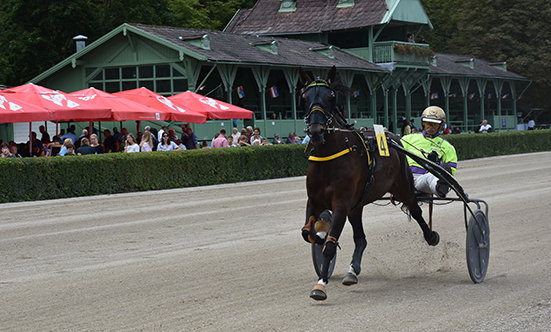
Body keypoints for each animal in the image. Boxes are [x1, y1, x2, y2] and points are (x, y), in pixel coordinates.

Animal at [300, 67, 442, 300]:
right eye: (304, 98)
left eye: (331, 97)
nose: (315, 131)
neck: (329, 158)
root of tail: (393, 136)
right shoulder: (314, 200)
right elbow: (308, 233)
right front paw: (320, 235)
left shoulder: (341, 203)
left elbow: (329, 245)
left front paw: (320, 285)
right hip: (356, 206)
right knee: (361, 239)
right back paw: (352, 272)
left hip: (402, 185)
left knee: (416, 210)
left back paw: (431, 236)